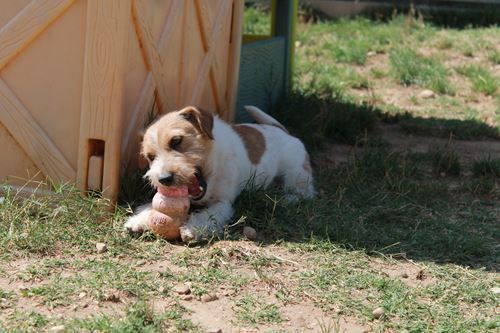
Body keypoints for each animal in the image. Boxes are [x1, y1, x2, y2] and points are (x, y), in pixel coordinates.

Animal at [123, 105, 314, 241]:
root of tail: (283, 131)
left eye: (176, 141)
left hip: (295, 174)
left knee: (304, 193)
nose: (164, 179)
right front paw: (140, 219)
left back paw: (284, 198)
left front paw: (193, 228)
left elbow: (209, 215)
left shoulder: (223, 203)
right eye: (150, 157)